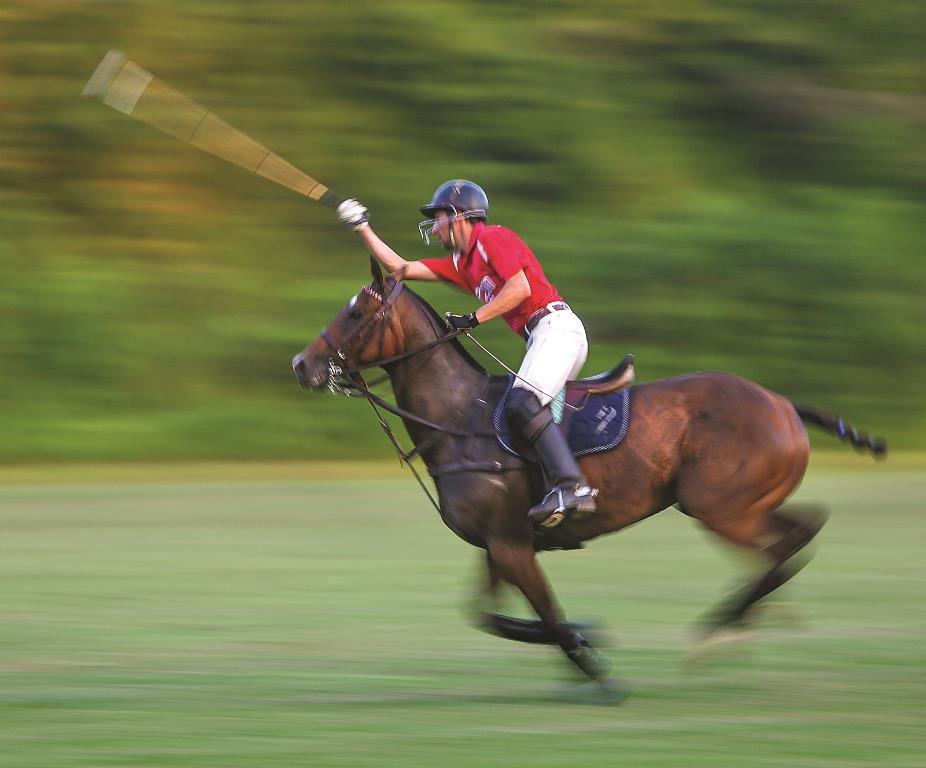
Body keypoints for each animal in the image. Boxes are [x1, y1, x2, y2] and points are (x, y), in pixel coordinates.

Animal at [294, 262, 888, 696]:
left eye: (355, 312)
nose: (302, 365)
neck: (459, 417)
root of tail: (784, 404)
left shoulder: (510, 543)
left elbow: (547, 615)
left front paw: (595, 666)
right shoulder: (497, 543)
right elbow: (489, 616)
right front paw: (590, 634)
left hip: (719, 506)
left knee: (784, 546)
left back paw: (716, 635)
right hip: (745, 503)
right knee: (800, 533)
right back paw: (740, 627)